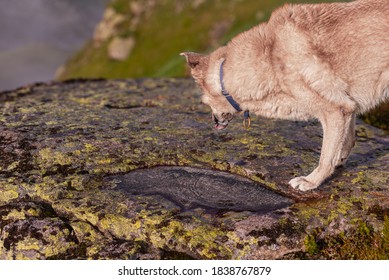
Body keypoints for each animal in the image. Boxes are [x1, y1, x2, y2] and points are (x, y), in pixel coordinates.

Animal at [182, 0, 388, 190]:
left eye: (204, 102)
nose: (214, 121)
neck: (270, 55)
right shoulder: (347, 107)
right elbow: (345, 141)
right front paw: (339, 160)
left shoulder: (334, 111)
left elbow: (325, 156)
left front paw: (311, 181)